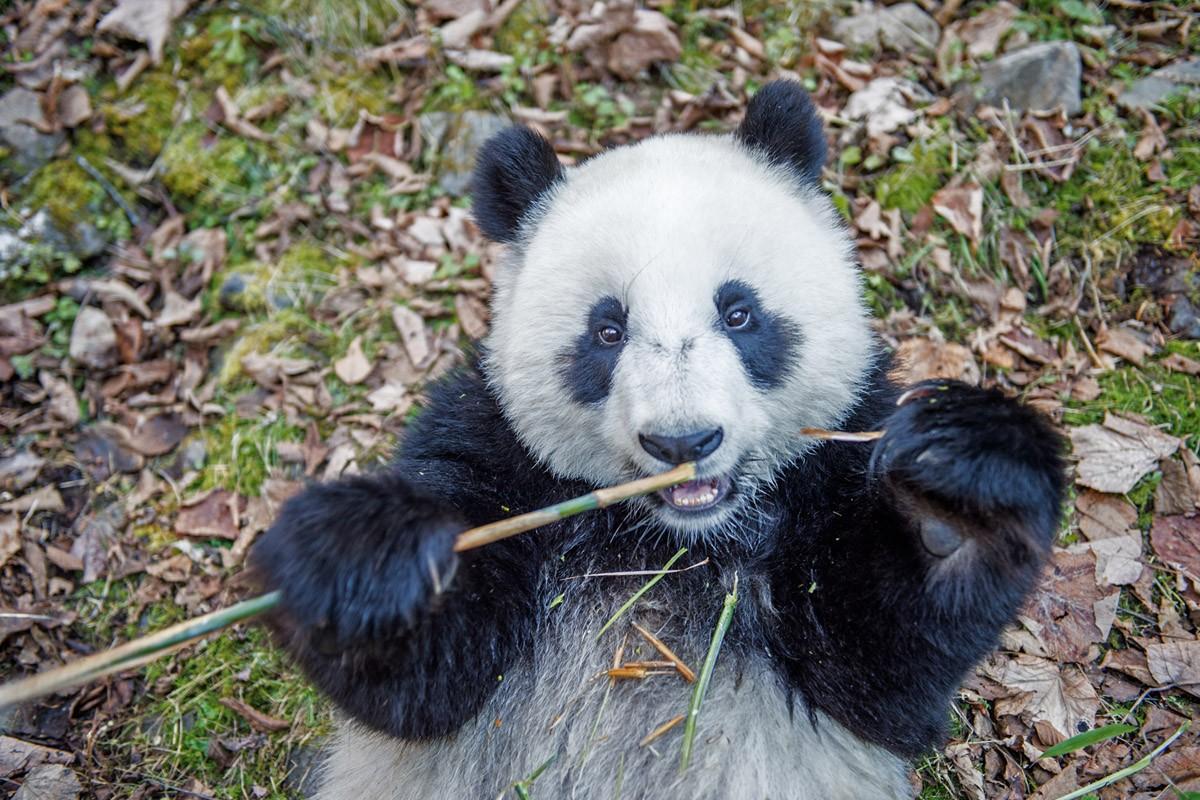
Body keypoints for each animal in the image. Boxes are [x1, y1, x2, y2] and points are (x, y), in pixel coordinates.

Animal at [248, 76, 1065, 800]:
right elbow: (425, 687)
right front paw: (368, 562)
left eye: (739, 313)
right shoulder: (494, 453)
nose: (682, 442)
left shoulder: (833, 466)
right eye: (607, 331)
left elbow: (882, 669)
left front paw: (953, 501)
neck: (671, 541)